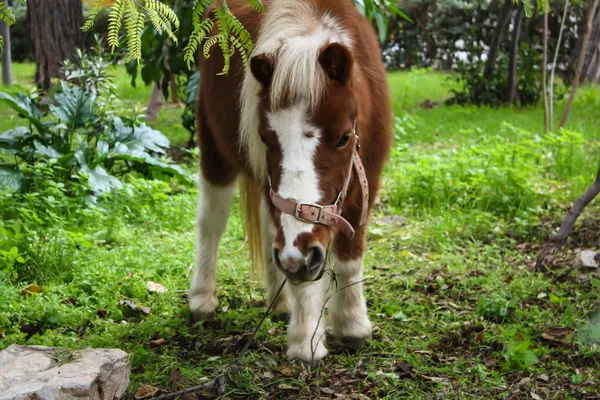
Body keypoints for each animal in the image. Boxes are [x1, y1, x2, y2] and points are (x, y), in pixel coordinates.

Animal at [190, 0, 392, 366]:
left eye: (343, 138)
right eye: (265, 138)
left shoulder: (366, 178)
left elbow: (349, 253)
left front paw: (353, 324)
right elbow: (299, 266)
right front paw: (305, 341)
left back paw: (281, 303)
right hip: (214, 150)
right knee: (211, 223)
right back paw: (202, 299)